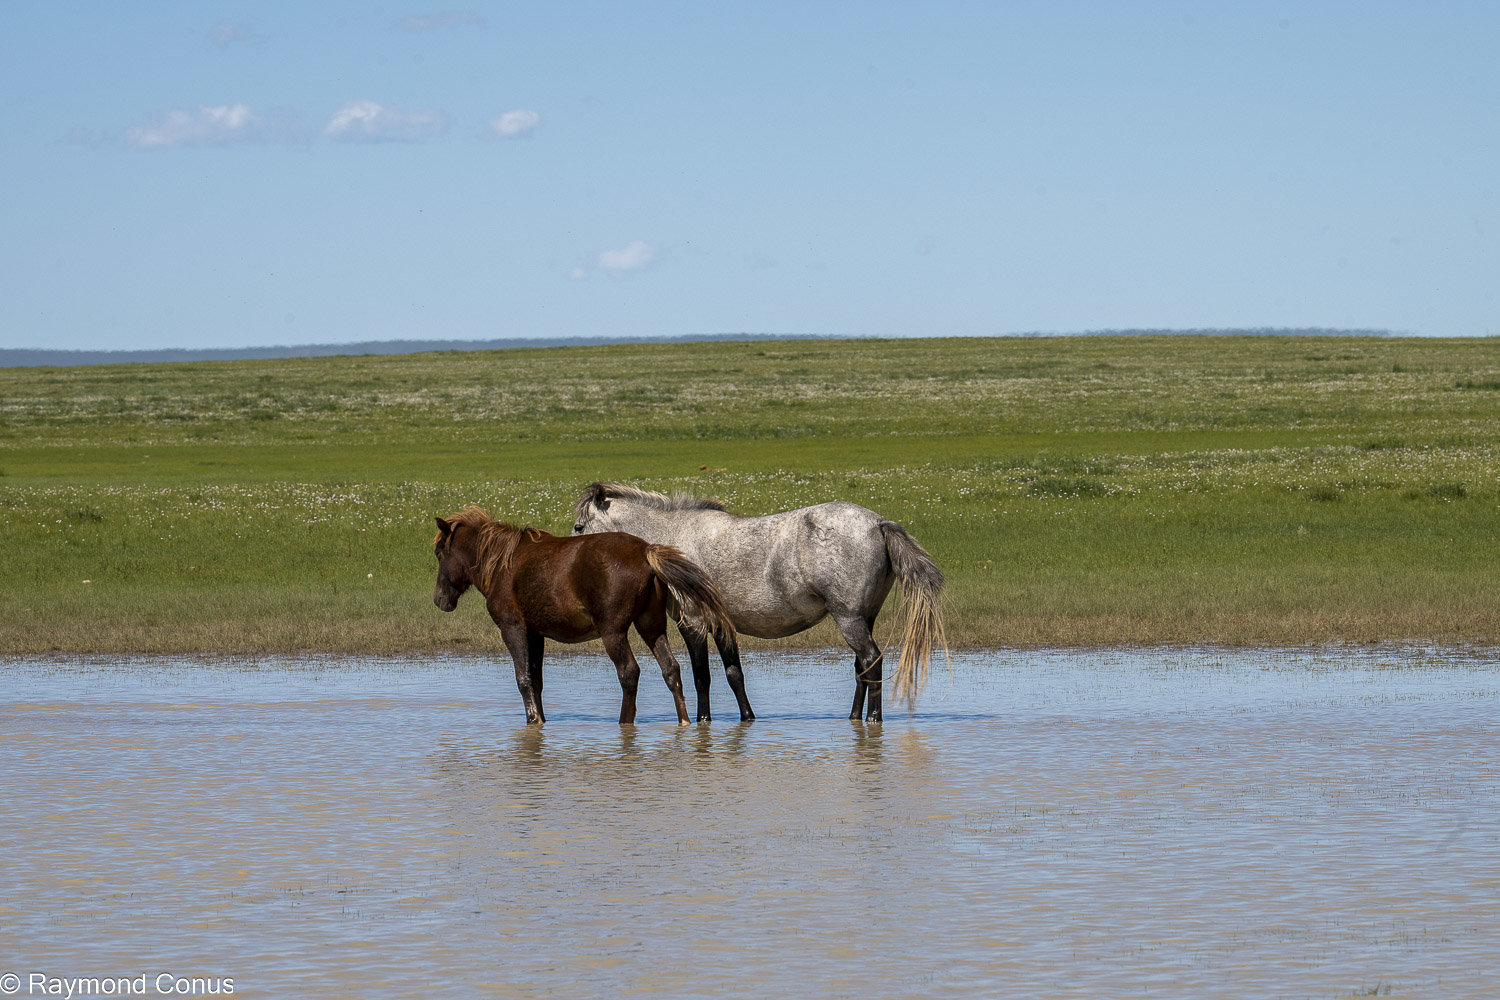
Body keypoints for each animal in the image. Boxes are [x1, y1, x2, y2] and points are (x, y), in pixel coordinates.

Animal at [433, 506, 737, 726]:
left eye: (438, 553)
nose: (439, 599)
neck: (500, 565)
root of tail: (645, 551)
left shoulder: (512, 627)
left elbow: (524, 679)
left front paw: (533, 721)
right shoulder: (536, 633)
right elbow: (537, 680)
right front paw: (542, 720)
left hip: (613, 632)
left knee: (629, 672)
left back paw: (625, 721)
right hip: (651, 626)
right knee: (671, 669)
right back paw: (684, 721)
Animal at [571, 483, 947, 723]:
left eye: (578, 526)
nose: (572, 558)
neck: (674, 541)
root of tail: (878, 524)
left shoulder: (692, 622)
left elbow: (701, 676)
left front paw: (703, 720)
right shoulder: (720, 624)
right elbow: (733, 674)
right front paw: (747, 718)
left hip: (849, 618)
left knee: (871, 660)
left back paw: (873, 718)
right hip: (864, 617)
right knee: (862, 666)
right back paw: (855, 716)